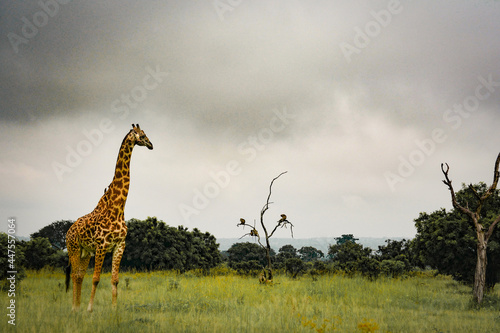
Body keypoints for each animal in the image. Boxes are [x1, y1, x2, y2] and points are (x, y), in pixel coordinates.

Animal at [66, 122, 152, 312]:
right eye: (142, 135)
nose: (151, 145)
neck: (118, 207)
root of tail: (68, 231)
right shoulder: (102, 245)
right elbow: (96, 279)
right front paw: (90, 309)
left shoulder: (119, 245)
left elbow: (115, 280)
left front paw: (114, 309)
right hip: (73, 248)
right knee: (75, 275)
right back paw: (75, 308)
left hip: (85, 252)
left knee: (80, 275)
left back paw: (78, 306)